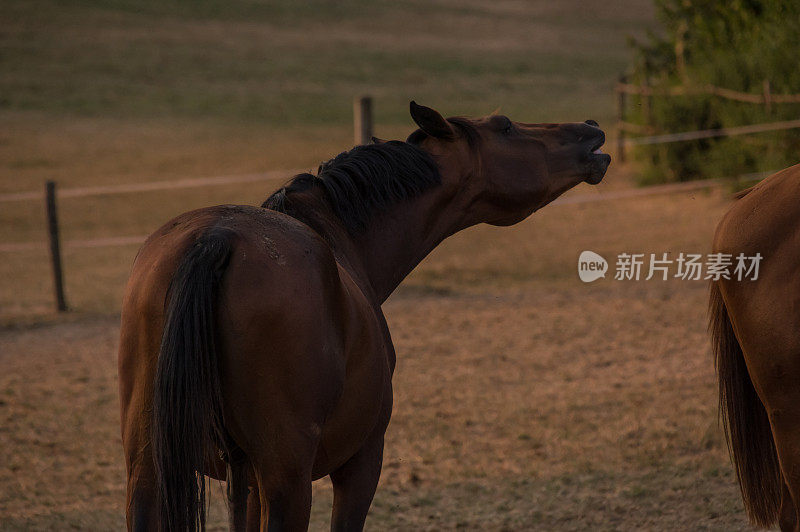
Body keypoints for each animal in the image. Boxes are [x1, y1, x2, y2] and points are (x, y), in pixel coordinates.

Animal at [117, 102, 608, 528]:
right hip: (287, 482)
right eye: (504, 125)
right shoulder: (362, 463)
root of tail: (217, 240)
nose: (591, 129)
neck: (337, 235)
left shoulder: (245, 481)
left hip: (149, 472)